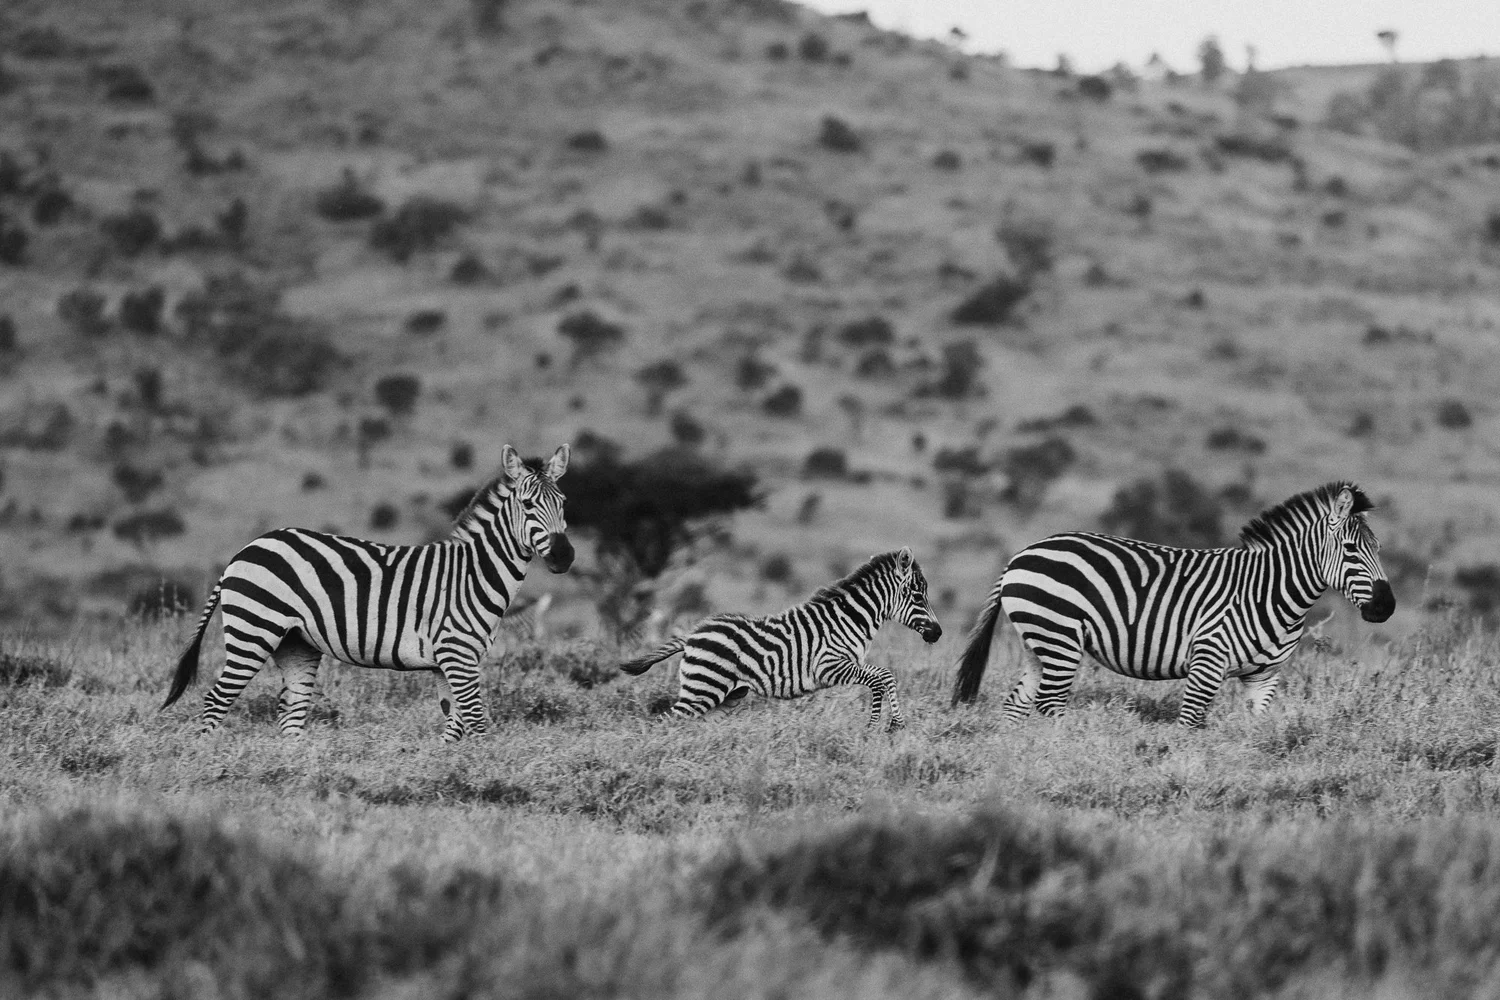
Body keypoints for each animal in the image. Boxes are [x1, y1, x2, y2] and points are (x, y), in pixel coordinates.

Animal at [161, 444, 573, 742]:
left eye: (564, 503)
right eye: (527, 505)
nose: (564, 556)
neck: (474, 573)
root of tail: (244, 551)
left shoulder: (449, 663)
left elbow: (454, 726)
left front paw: (450, 771)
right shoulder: (457, 655)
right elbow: (476, 721)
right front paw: (486, 773)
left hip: (296, 645)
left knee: (290, 713)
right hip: (254, 631)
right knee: (217, 700)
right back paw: (210, 763)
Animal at [620, 548, 942, 730]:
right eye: (918, 596)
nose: (938, 633)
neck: (851, 618)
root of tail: (691, 635)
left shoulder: (851, 664)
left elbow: (881, 678)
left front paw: (884, 725)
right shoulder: (830, 666)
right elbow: (883, 677)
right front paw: (886, 725)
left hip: (726, 696)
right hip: (702, 690)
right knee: (665, 723)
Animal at [950, 482, 1395, 728]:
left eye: (1379, 549)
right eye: (1352, 550)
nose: (1385, 608)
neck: (1272, 593)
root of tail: (1021, 554)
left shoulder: (1263, 678)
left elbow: (1258, 732)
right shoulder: (1207, 661)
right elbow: (1191, 725)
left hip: (1037, 642)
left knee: (1018, 703)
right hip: (1059, 637)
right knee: (1049, 704)